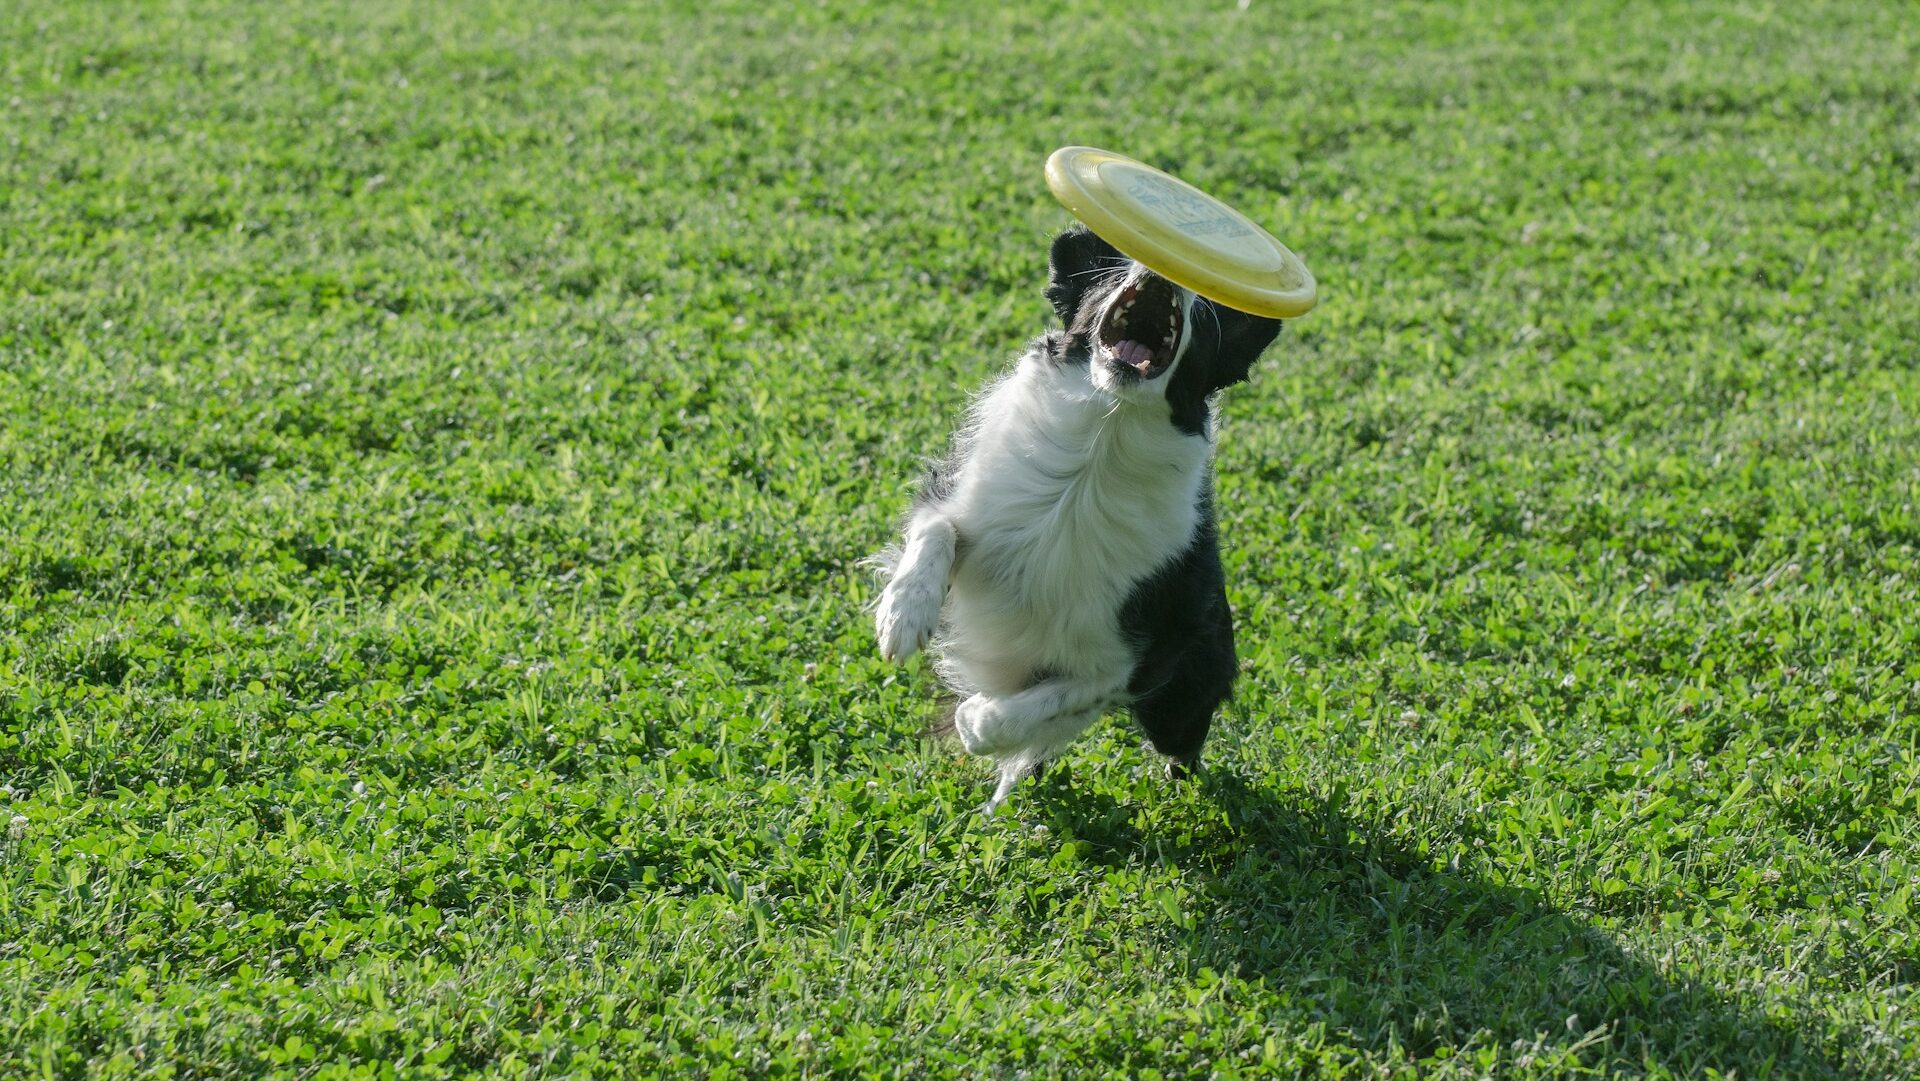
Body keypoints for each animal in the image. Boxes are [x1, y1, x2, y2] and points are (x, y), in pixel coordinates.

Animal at [879, 224, 1282, 806]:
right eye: (1110, 276)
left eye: (1205, 316)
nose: (1168, 268)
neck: (1106, 428)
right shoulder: (968, 496)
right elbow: (937, 527)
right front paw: (902, 617)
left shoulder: (1146, 653)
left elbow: (1047, 704)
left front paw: (977, 721)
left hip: (1183, 700)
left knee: (1177, 745)